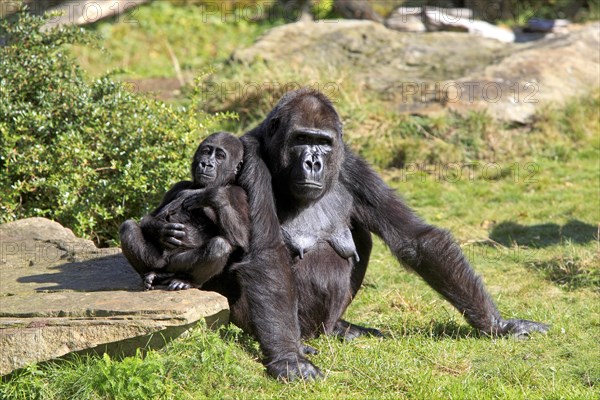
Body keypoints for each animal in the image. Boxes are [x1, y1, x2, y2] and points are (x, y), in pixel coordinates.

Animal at [118, 131, 250, 290]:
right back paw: (151, 274)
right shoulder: (178, 186)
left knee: (219, 246)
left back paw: (187, 280)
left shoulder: (239, 193)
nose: (206, 164)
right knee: (128, 228)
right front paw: (163, 231)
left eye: (220, 156)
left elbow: (241, 239)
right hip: (160, 262)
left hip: (176, 265)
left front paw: (211, 194)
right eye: (206, 152)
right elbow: (151, 217)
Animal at [159, 89, 548, 380]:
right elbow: (266, 255)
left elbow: (416, 239)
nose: (313, 162)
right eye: (301, 139)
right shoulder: (251, 159)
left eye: (324, 143)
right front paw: (288, 359)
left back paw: (340, 328)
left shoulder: (352, 165)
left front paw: (499, 325)